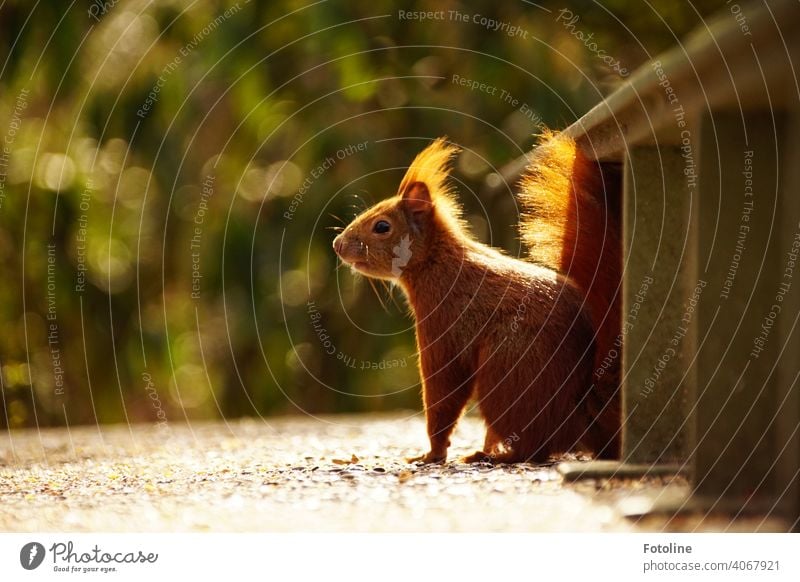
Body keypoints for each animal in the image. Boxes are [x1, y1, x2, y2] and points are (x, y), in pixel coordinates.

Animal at [334, 133, 620, 466]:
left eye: (382, 226)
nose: (337, 244)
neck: (438, 263)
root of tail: (584, 414)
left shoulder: (442, 326)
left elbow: (444, 393)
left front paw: (432, 453)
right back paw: (488, 450)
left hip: (507, 371)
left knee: (535, 448)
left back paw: (498, 456)